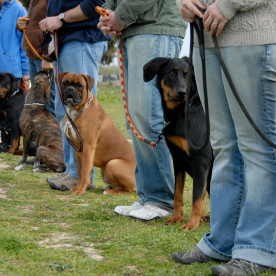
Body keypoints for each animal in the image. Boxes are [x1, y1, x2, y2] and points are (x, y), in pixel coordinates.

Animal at [143, 56, 212, 231]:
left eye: (188, 75)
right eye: (171, 73)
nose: (182, 92)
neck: (182, 112)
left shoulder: (200, 160)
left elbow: (196, 198)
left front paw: (192, 223)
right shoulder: (178, 158)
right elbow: (177, 194)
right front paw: (176, 218)